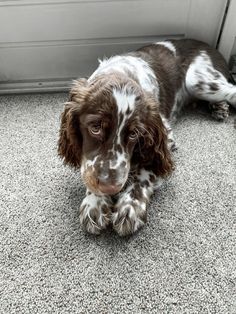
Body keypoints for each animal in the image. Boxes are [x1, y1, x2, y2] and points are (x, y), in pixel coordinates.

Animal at [57, 38, 236, 236]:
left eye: (134, 133)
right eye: (95, 128)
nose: (110, 187)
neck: (121, 71)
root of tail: (209, 46)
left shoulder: (164, 136)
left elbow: (146, 169)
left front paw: (130, 206)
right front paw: (95, 202)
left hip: (198, 80)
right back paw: (219, 107)